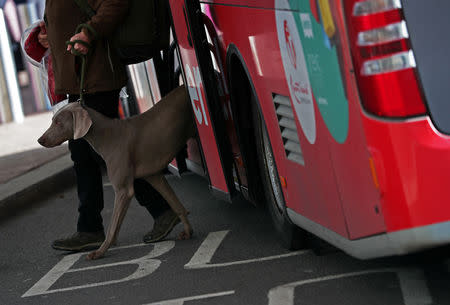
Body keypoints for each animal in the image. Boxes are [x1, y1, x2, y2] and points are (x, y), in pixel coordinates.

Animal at [37, 85, 195, 258]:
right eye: (52, 120)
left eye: (58, 122)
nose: (39, 140)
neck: (107, 135)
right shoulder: (154, 176)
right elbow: (176, 204)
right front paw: (188, 230)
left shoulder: (123, 190)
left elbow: (113, 225)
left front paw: (100, 251)